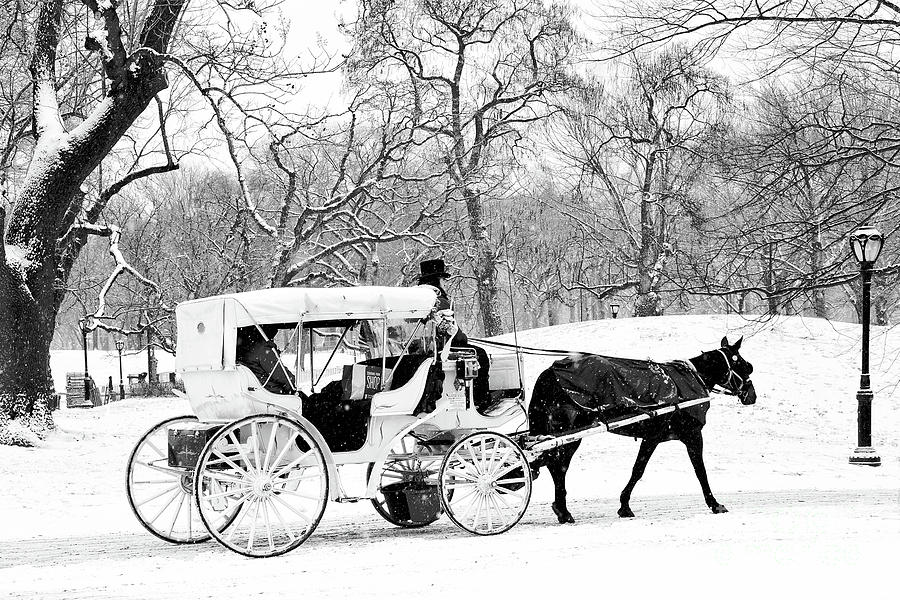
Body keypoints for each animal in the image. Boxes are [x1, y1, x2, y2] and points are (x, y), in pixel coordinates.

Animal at [532, 336, 756, 524]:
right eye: (744, 365)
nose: (752, 395)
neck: (692, 380)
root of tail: (551, 372)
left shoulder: (653, 437)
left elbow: (638, 469)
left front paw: (624, 505)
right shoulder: (690, 435)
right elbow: (699, 470)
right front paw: (714, 504)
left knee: (554, 465)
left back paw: (561, 508)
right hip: (569, 434)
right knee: (558, 467)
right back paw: (563, 510)